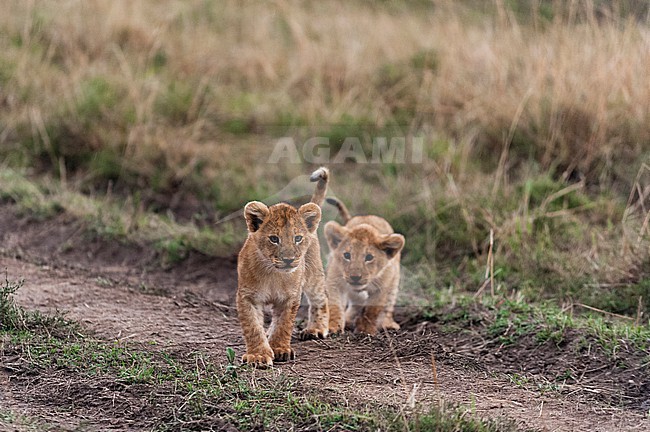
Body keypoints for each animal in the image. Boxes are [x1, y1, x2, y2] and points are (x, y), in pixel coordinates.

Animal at [236, 168, 330, 367]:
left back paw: (315, 329)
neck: (274, 274)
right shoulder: (247, 297)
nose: (288, 260)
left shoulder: (290, 298)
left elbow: (284, 324)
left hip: (313, 275)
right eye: (274, 239)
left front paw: (279, 349)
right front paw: (258, 355)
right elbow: (253, 327)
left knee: (320, 298)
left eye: (297, 238)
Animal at [324, 197, 405, 335]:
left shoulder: (382, 288)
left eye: (369, 257)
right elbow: (335, 306)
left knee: (388, 305)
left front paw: (365, 329)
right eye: (347, 255)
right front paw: (333, 327)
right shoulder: (335, 281)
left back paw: (388, 324)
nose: (355, 277)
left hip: (393, 282)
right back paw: (349, 320)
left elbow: (372, 310)